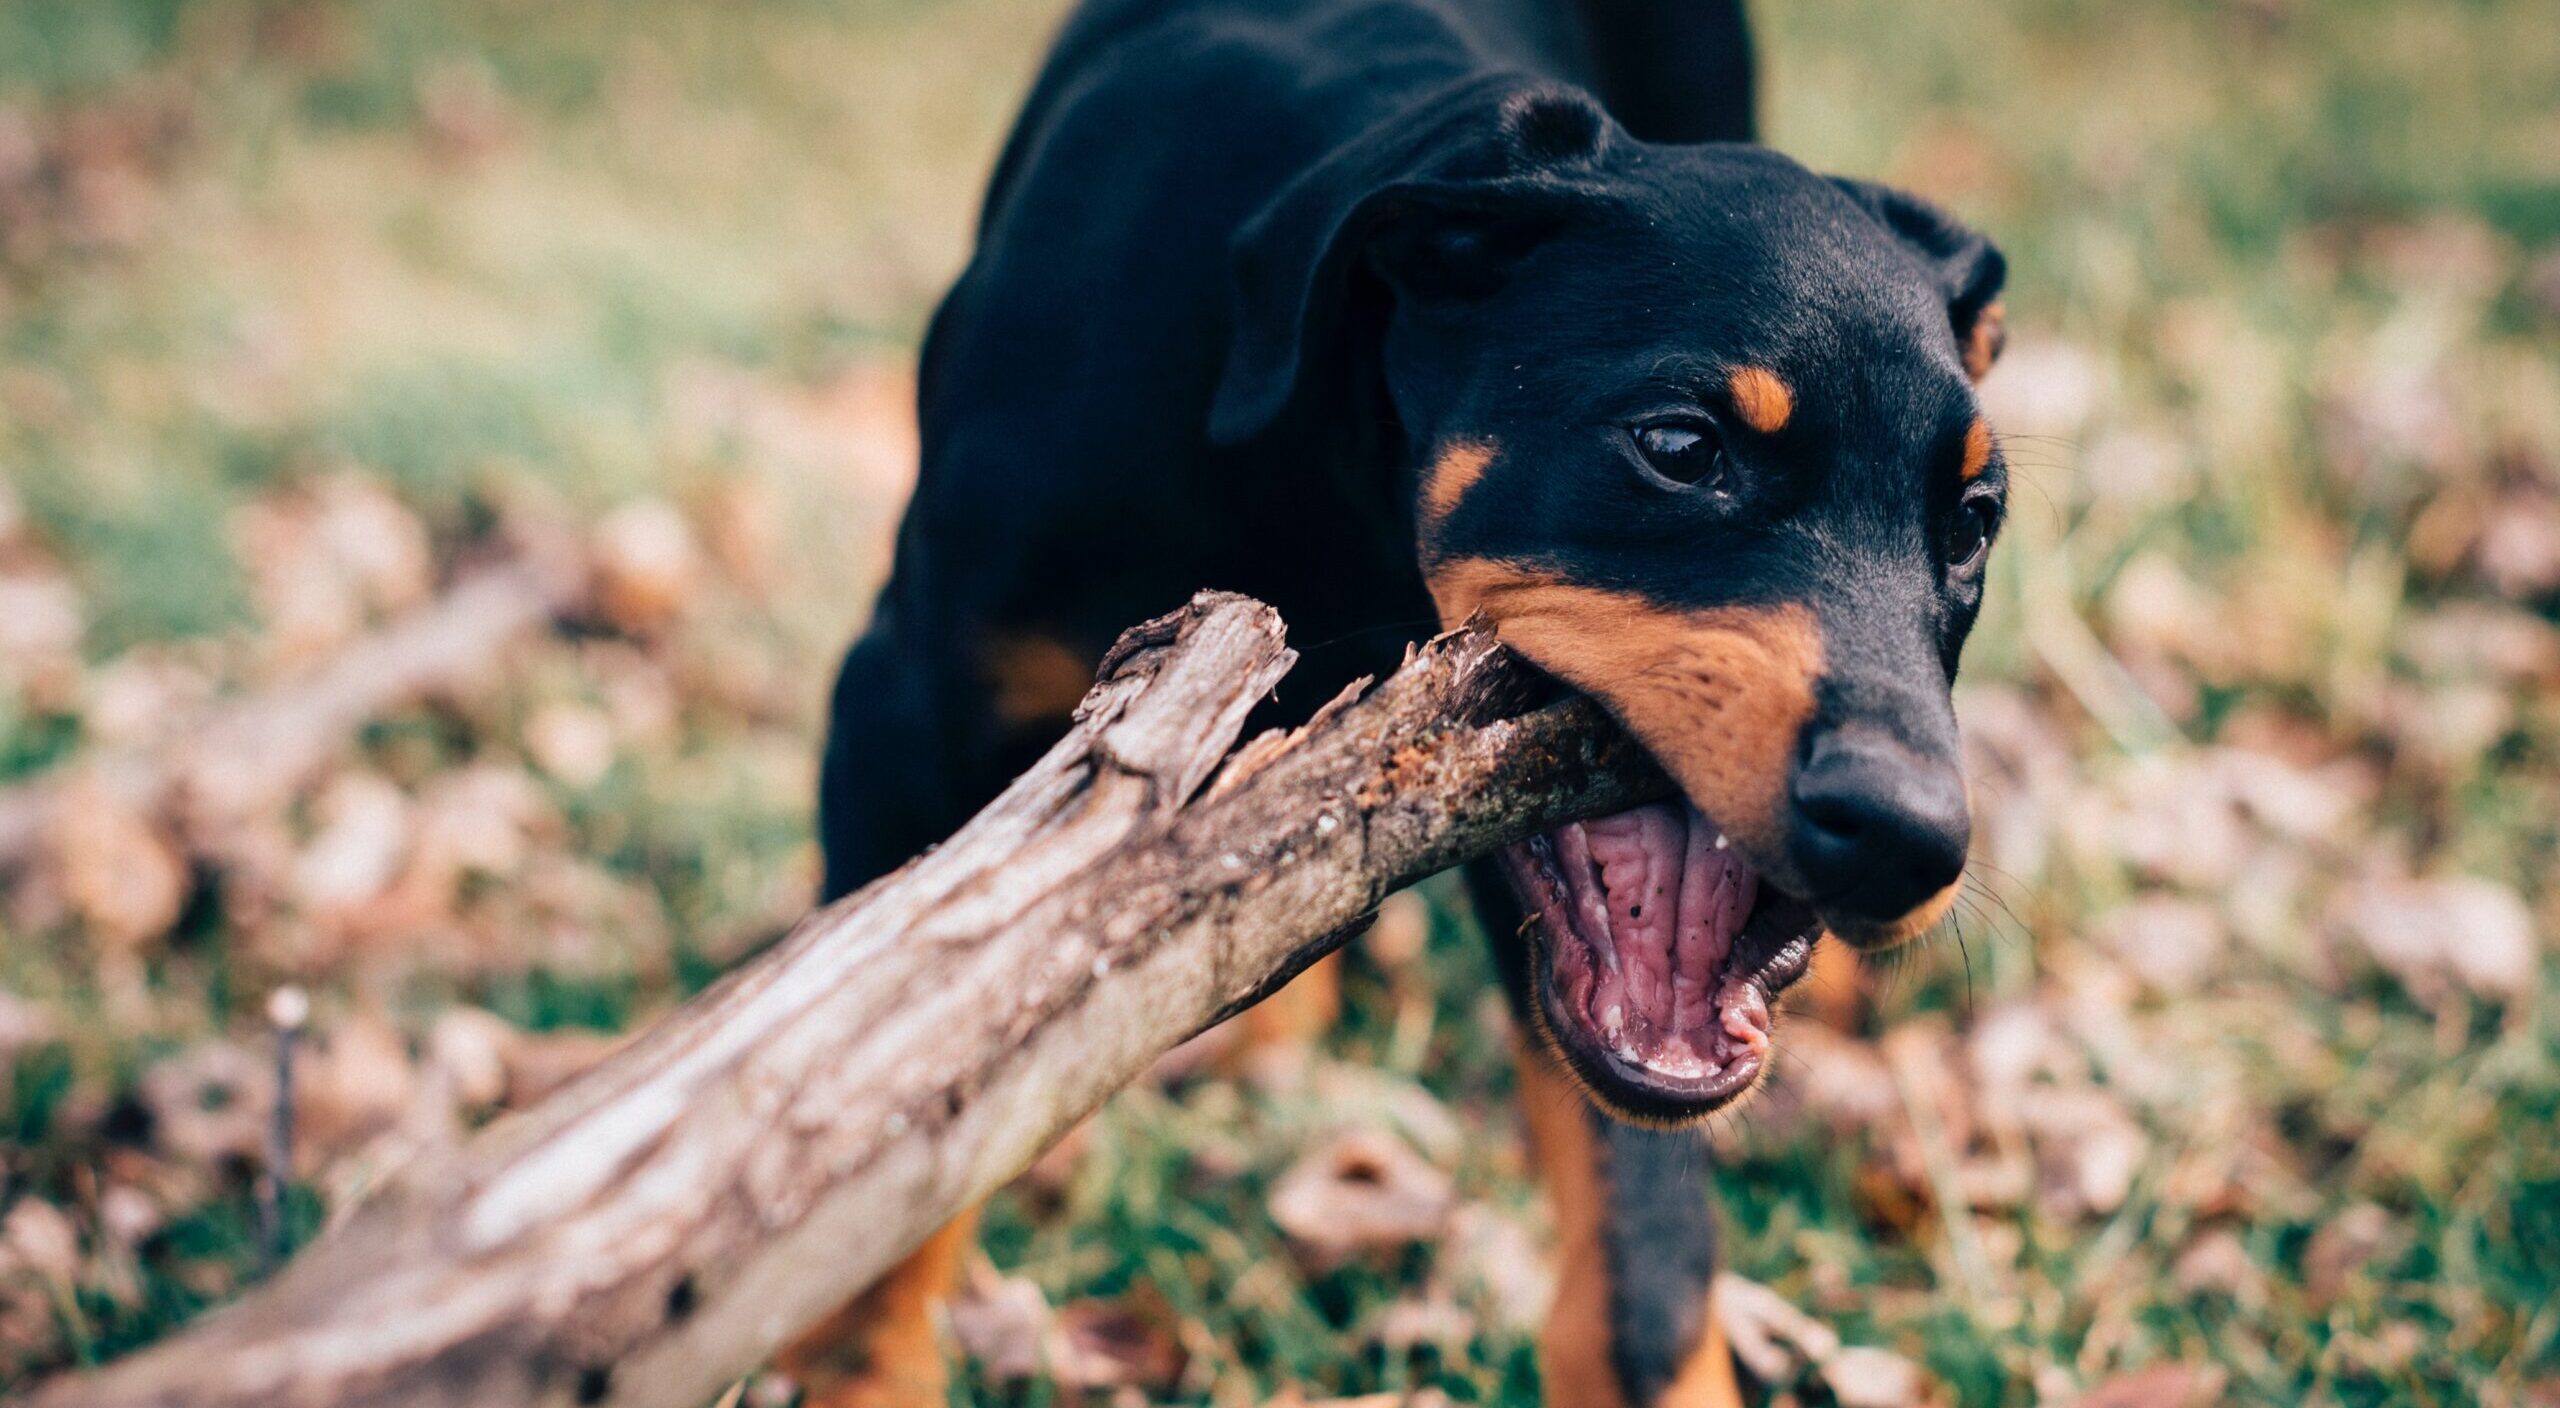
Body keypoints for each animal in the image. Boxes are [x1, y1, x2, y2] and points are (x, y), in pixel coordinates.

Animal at [788, 0, 2007, 1402]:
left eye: (1973, 523)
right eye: (1679, 446)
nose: (1908, 838)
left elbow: (1643, 1259)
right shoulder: (898, 715)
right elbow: (888, 1154)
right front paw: (862, 1371)